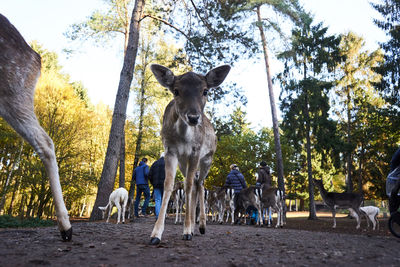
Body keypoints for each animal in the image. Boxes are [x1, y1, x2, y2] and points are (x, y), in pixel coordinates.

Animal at [148, 63, 230, 245]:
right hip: (183, 163)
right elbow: (168, 184)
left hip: (207, 159)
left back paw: (201, 226)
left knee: (199, 184)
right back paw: (193, 226)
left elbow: (189, 185)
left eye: (205, 91)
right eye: (176, 90)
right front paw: (155, 234)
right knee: (193, 184)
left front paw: (186, 231)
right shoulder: (170, 150)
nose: (193, 117)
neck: (183, 138)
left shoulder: (196, 151)